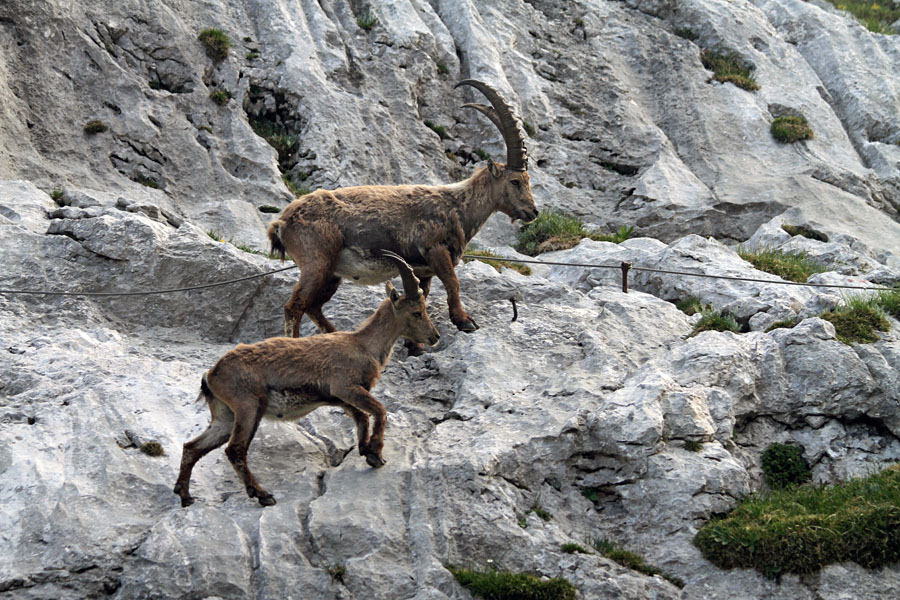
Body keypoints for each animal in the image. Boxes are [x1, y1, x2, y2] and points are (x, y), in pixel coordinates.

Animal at [173, 252, 439, 507]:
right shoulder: (346, 387)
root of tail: (211, 374)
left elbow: (362, 416)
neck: (364, 345)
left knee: (192, 447)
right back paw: (262, 495)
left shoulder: (341, 397)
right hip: (248, 406)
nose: (434, 337)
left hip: (225, 414)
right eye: (417, 312)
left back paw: (185, 496)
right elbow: (379, 410)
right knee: (235, 450)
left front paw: (366, 450)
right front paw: (376, 453)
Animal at [267, 79, 538, 353]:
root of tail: (281, 223)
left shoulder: (422, 270)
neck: (458, 207)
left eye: (527, 180)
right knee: (294, 307)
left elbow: (422, 297)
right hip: (316, 262)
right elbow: (453, 282)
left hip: (332, 273)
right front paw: (464, 321)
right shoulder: (435, 250)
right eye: (515, 181)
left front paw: (414, 345)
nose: (533, 212)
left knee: (313, 306)